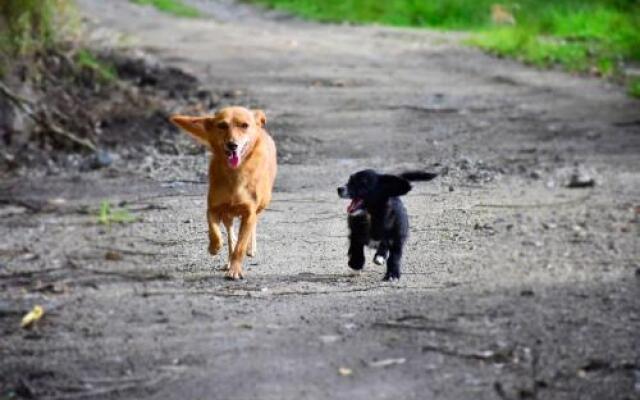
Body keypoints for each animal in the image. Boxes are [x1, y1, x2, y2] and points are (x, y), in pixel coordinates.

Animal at [170, 108, 278, 280]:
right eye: (222, 125)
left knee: (253, 225)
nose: (232, 145)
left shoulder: (249, 213)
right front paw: (214, 247)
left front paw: (235, 270)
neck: (234, 174)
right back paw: (228, 255)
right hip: (228, 215)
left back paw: (250, 249)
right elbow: (214, 231)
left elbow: (241, 245)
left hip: (263, 202)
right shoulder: (213, 208)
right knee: (229, 233)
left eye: (244, 125)